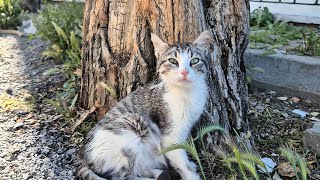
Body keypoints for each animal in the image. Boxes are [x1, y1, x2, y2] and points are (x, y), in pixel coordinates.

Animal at [77, 30, 212, 179]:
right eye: (173, 61)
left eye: (194, 61)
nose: (184, 72)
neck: (186, 93)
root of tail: (84, 157)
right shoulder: (170, 135)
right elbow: (179, 158)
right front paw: (191, 175)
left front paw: (190, 164)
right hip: (132, 127)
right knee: (124, 176)